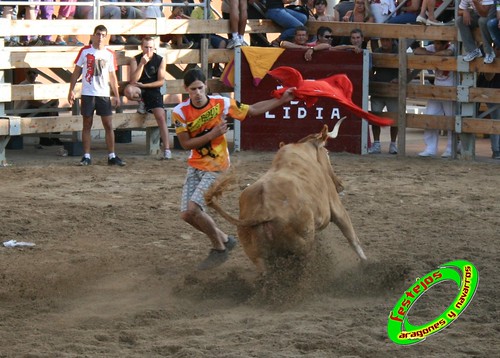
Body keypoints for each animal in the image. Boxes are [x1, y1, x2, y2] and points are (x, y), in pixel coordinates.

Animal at [204, 124, 368, 272]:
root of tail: (264, 212)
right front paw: (366, 263)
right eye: (327, 152)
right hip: (303, 246)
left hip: (259, 257)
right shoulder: (336, 207)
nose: (340, 185)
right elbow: (352, 237)